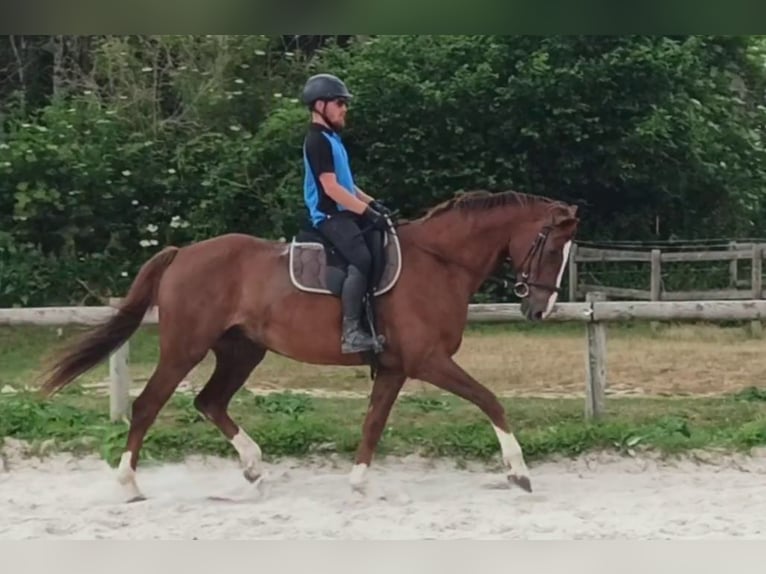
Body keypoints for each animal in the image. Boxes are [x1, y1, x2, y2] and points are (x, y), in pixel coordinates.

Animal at [39, 191, 580, 502]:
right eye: (553, 247)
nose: (540, 309)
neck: (439, 261)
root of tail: (183, 253)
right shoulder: (428, 360)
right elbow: (490, 400)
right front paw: (519, 473)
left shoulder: (395, 367)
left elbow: (373, 422)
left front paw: (359, 481)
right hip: (184, 348)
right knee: (150, 404)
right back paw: (129, 484)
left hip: (241, 350)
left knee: (209, 401)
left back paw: (255, 469)